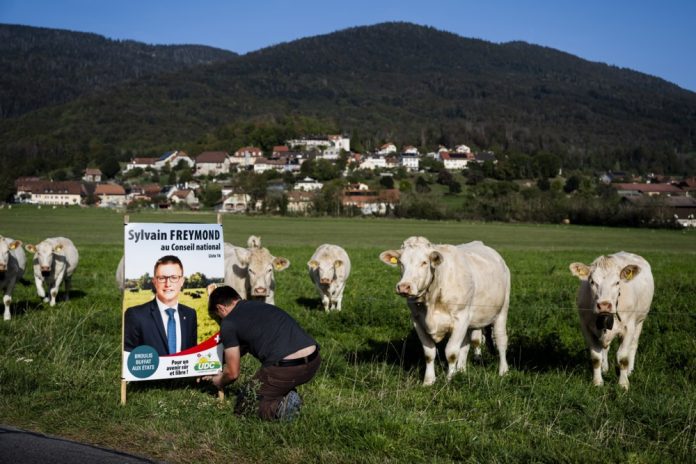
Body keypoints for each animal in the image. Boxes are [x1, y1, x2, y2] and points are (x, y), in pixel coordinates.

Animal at [380, 237, 512, 386]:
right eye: (401, 263)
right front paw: (429, 381)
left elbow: (451, 352)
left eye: (424, 262)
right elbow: (429, 353)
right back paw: (461, 370)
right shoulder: (417, 320)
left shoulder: (460, 318)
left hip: (502, 310)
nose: (404, 287)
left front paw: (450, 379)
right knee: (465, 345)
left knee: (501, 340)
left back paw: (503, 371)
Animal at [568, 252, 656, 390]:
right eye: (592, 282)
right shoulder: (586, 327)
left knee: (633, 345)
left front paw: (623, 383)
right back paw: (604, 368)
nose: (604, 305)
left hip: (640, 321)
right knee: (605, 348)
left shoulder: (629, 327)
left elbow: (623, 357)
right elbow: (596, 357)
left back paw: (630, 370)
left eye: (617, 282)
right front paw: (597, 381)